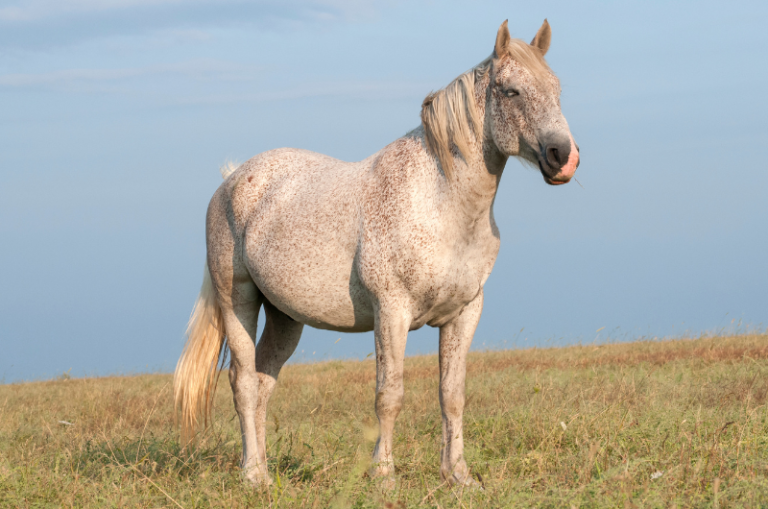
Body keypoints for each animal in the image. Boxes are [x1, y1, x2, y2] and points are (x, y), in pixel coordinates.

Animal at [174, 19, 579, 487]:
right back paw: (254, 476)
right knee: (242, 382)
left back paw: (262, 469)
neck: (443, 203)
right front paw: (383, 474)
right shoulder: (392, 312)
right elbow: (390, 394)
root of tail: (232, 179)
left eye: (557, 89)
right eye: (510, 91)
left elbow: (452, 395)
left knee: (262, 383)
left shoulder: (464, 314)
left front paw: (458, 475)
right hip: (237, 302)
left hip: (285, 317)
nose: (564, 157)